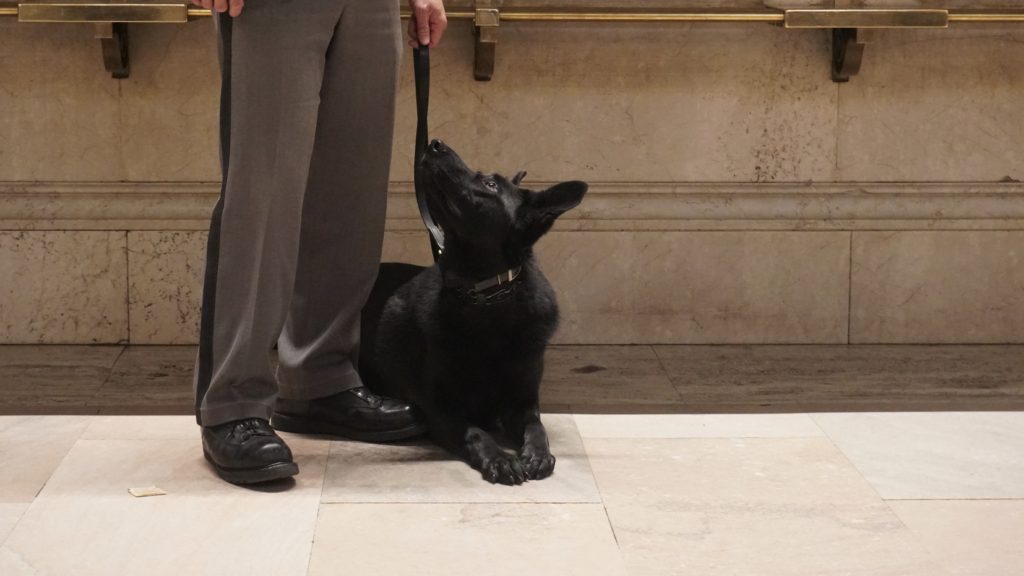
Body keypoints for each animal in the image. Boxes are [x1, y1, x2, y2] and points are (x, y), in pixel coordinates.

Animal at [358, 139, 585, 483]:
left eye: (491, 185)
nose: (434, 143)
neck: (486, 295)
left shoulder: (522, 403)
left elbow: (537, 427)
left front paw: (537, 453)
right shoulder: (440, 408)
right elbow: (476, 433)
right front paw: (500, 458)